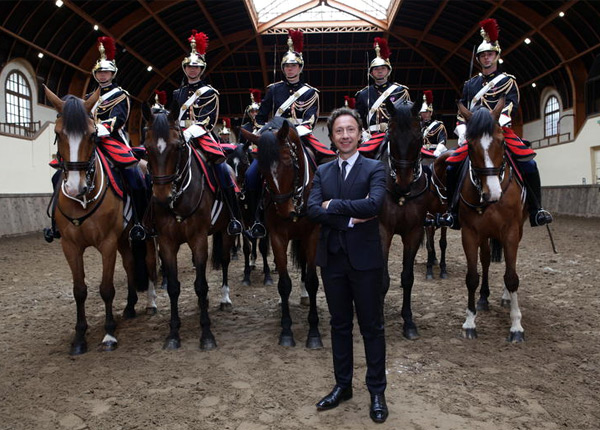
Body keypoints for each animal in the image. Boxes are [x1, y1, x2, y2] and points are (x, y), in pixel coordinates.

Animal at [44, 86, 157, 356]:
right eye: (58, 133)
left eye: (92, 135)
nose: (75, 188)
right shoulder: (70, 246)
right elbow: (79, 291)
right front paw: (79, 337)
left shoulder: (107, 243)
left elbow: (106, 289)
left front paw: (108, 334)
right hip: (124, 238)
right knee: (129, 264)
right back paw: (130, 307)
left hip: (145, 232)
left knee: (148, 262)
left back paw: (150, 303)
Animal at [143, 103, 237, 350]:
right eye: (146, 148)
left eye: (177, 147)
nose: (162, 197)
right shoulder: (166, 243)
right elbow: (174, 287)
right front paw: (173, 334)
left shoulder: (199, 239)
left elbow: (201, 285)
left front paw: (207, 334)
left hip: (226, 231)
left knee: (224, 261)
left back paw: (224, 298)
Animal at [240, 117, 324, 350]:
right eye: (261, 167)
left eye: (287, 159)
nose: (285, 210)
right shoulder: (277, 236)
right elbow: (284, 284)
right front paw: (286, 331)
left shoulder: (312, 235)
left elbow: (312, 280)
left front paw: (314, 333)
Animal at [452, 101, 528, 342]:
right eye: (469, 144)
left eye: (502, 141)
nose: (492, 193)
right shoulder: (470, 233)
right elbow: (472, 277)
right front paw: (469, 322)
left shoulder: (511, 231)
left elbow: (512, 276)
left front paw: (516, 326)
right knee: (485, 260)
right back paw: (483, 298)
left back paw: (506, 297)